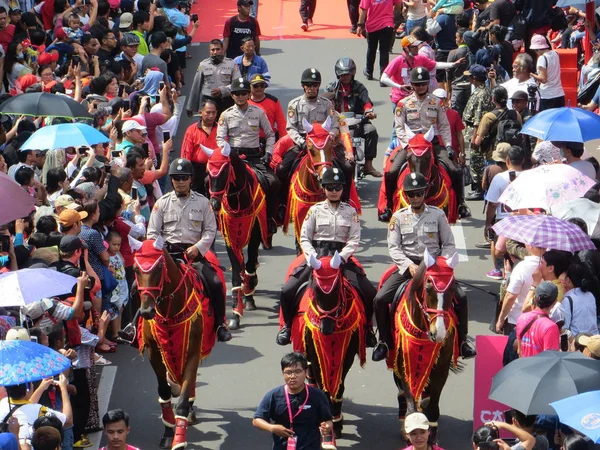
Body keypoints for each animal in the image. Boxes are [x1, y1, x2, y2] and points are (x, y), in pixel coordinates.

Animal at [134, 237, 223, 448]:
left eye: (159, 268)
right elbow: (164, 391)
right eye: (135, 269)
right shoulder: (153, 351)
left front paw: (179, 441)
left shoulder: (193, 350)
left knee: (189, 383)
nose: (146, 311)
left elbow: (182, 400)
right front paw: (168, 432)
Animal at [200, 142, 268, 330]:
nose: (214, 204)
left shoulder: (255, 233)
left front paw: (249, 294)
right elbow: (237, 272)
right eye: (208, 172)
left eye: (224, 172)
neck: (239, 199)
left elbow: (250, 262)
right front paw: (235, 316)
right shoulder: (229, 238)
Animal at [284, 251, 366, 438]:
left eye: (336, 289)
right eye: (315, 290)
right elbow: (323, 387)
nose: (326, 329)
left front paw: (336, 422)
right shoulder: (315, 353)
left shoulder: (347, 355)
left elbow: (339, 386)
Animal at [380, 250, 460, 442]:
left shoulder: (442, 366)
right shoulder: (404, 362)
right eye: (428, 287)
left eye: (452, 289)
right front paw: (411, 427)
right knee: (402, 393)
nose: (438, 333)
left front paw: (431, 433)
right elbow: (410, 401)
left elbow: (433, 404)